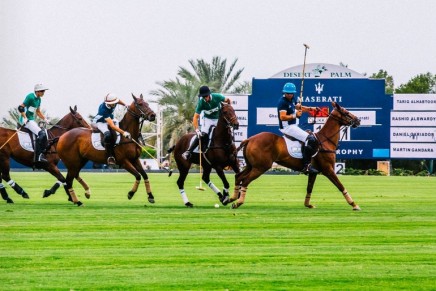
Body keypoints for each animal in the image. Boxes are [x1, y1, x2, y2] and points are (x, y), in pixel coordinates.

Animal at [232, 101, 362, 211]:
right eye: (346, 112)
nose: (358, 120)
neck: (325, 140)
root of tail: (249, 139)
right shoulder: (328, 169)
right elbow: (340, 185)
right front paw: (354, 204)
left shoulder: (314, 172)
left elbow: (309, 187)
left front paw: (308, 204)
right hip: (261, 167)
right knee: (245, 181)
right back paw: (238, 202)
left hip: (251, 165)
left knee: (239, 177)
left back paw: (232, 198)